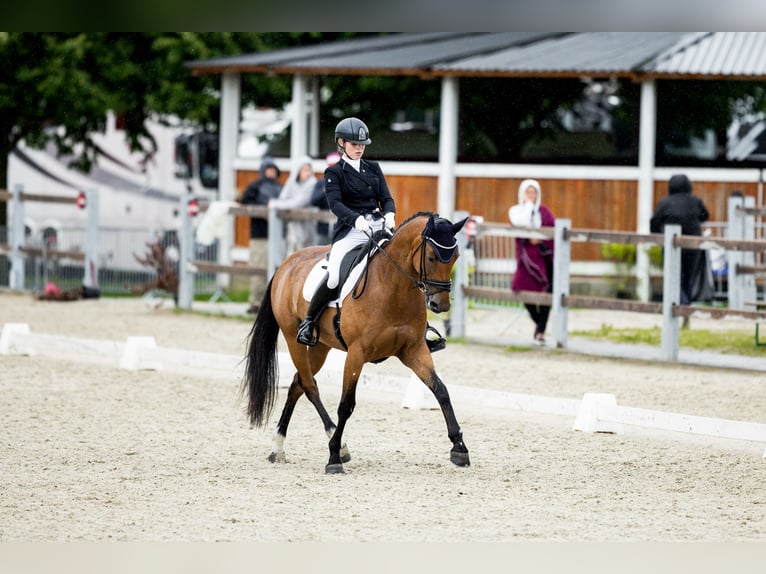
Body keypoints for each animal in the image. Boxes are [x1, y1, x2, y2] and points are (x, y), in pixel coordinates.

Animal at [241, 211, 470, 474]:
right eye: (432, 257)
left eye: (455, 257)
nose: (440, 305)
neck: (393, 287)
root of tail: (287, 264)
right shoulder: (356, 353)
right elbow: (346, 404)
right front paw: (333, 458)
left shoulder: (414, 350)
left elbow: (441, 391)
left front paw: (459, 448)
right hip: (293, 339)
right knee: (309, 385)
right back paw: (335, 444)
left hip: (321, 347)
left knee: (298, 384)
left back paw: (279, 447)